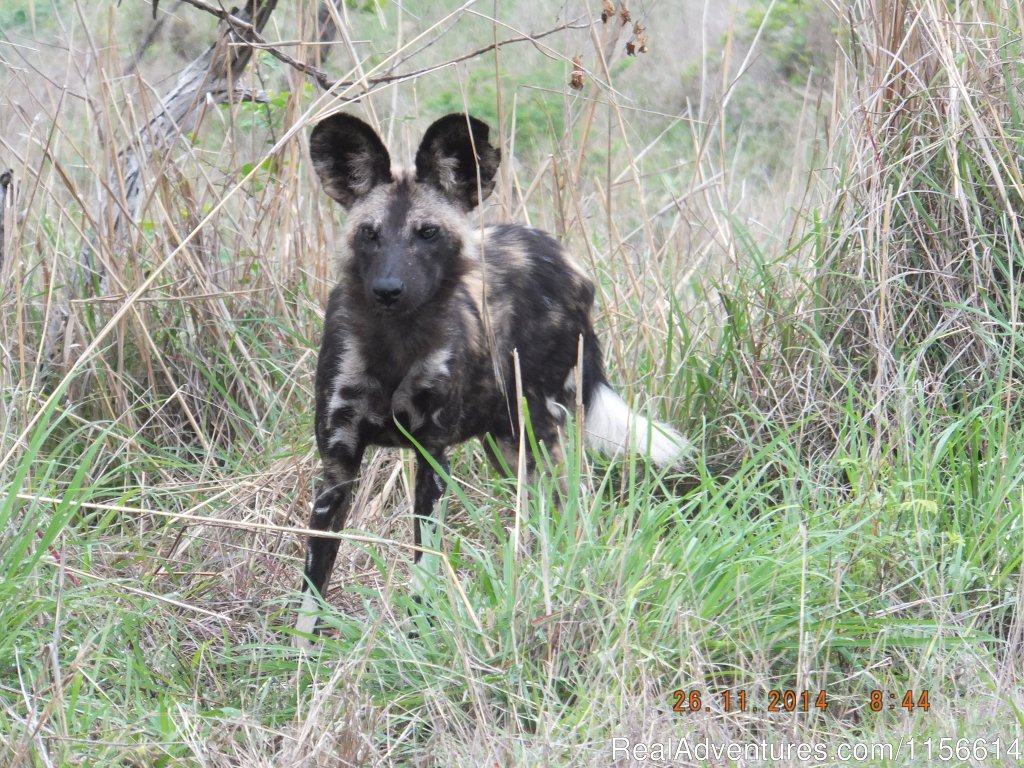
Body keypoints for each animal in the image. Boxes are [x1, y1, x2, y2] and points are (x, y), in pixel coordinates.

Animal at [292, 112, 688, 643]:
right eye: (370, 234)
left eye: (427, 233)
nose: (388, 289)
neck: (396, 345)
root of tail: (563, 257)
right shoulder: (337, 468)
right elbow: (313, 584)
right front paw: (298, 656)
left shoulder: (431, 459)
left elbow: (425, 566)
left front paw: (420, 639)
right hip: (505, 446)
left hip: (539, 436)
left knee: (573, 507)